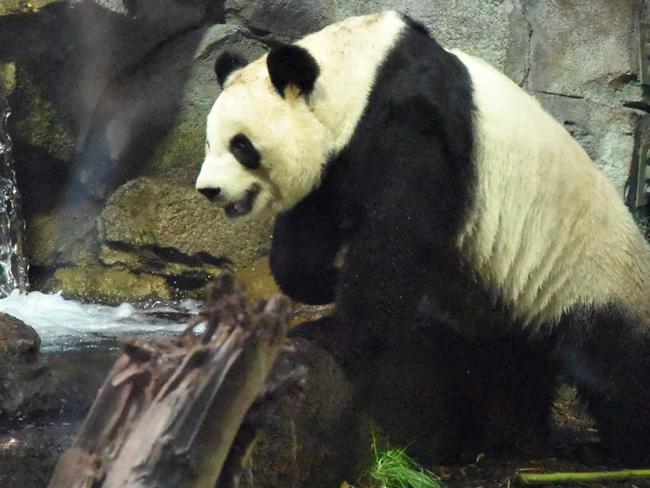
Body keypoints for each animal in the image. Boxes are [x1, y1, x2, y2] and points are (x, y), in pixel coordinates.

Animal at [195, 10, 648, 462]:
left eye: (241, 146)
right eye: (209, 142)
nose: (209, 190)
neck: (358, 70)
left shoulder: (413, 123)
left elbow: (396, 236)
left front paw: (330, 333)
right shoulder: (338, 161)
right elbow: (309, 227)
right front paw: (324, 281)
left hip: (593, 276)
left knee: (613, 367)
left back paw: (610, 451)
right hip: (519, 292)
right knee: (513, 361)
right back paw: (514, 437)